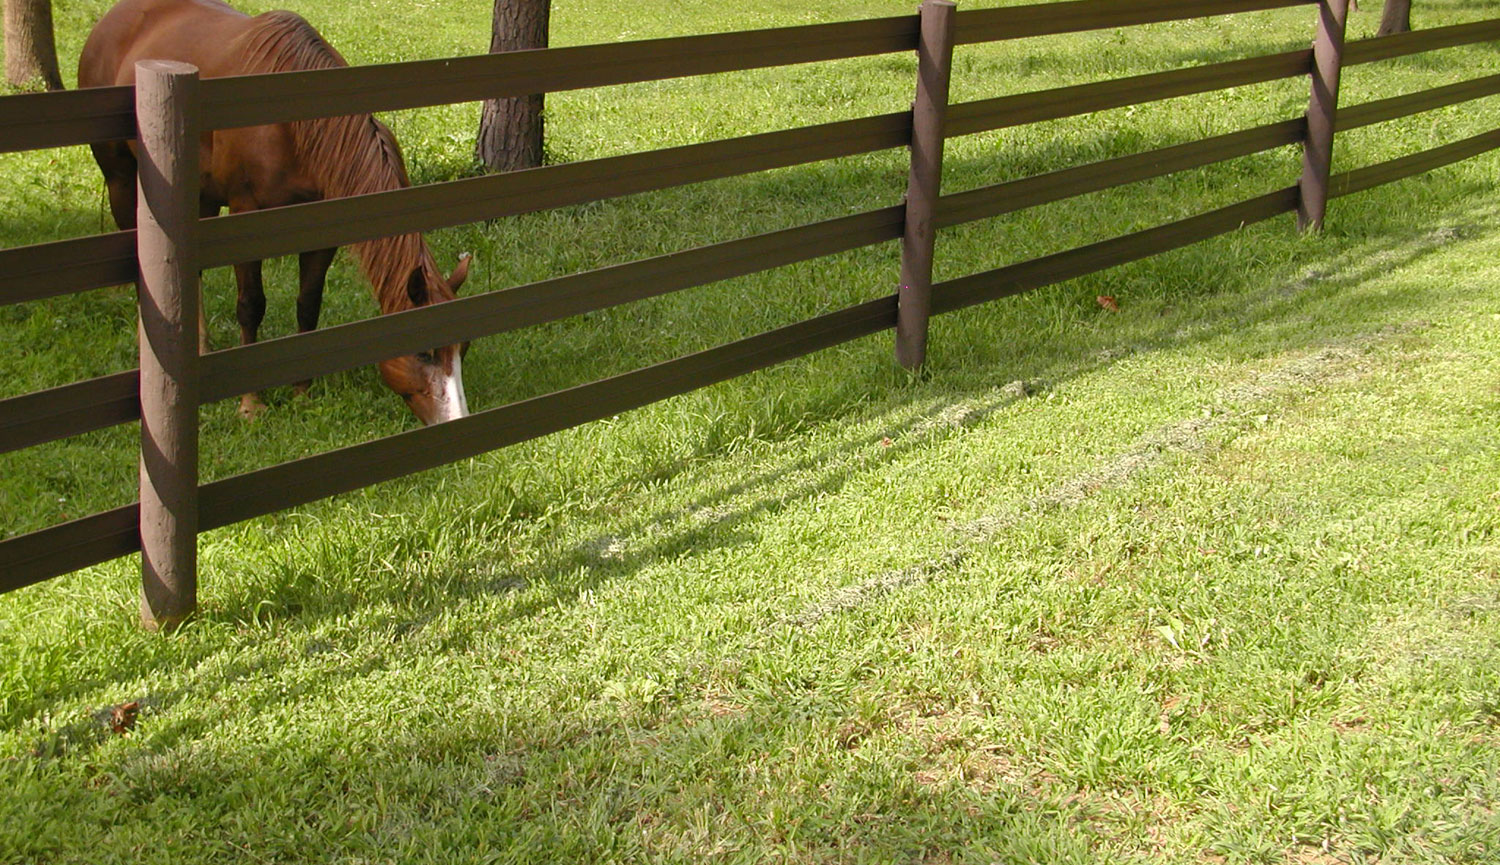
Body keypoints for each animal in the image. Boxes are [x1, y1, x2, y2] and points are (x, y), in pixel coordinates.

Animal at [77, 0, 474, 425]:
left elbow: (308, 305)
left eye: (463, 348)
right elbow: (251, 306)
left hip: (199, 196)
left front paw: (302, 393)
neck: (293, 125)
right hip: (120, 176)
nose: (456, 420)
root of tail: (112, 20)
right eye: (423, 352)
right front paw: (250, 403)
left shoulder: (322, 231)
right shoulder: (244, 214)